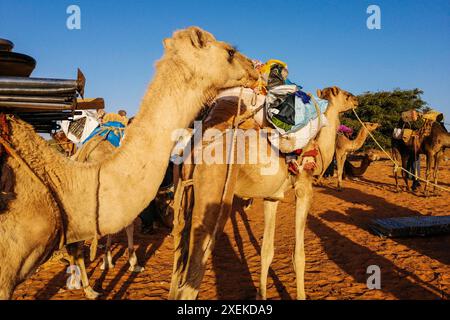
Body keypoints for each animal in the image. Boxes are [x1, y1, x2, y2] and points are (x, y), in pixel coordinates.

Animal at [169, 85, 358, 300]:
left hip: (184, 193)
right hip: (214, 192)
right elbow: (299, 256)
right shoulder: (304, 188)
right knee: (190, 280)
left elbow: (266, 251)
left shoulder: (271, 197)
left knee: (179, 259)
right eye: (346, 95)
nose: (357, 100)